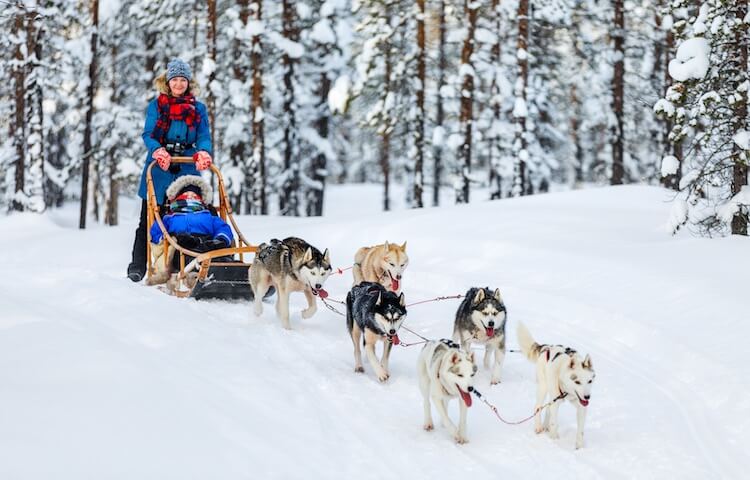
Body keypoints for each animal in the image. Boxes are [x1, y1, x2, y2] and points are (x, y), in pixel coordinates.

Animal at [516, 322, 600, 450]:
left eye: (590, 381)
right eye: (577, 382)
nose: (587, 397)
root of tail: (546, 347)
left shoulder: (581, 407)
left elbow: (580, 430)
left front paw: (579, 447)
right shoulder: (556, 402)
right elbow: (554, 422)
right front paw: (554, 441)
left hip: (552, 396)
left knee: (548, 409)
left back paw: (546, 426)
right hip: (544, 387)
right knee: (538, 407)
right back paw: (539, 427)